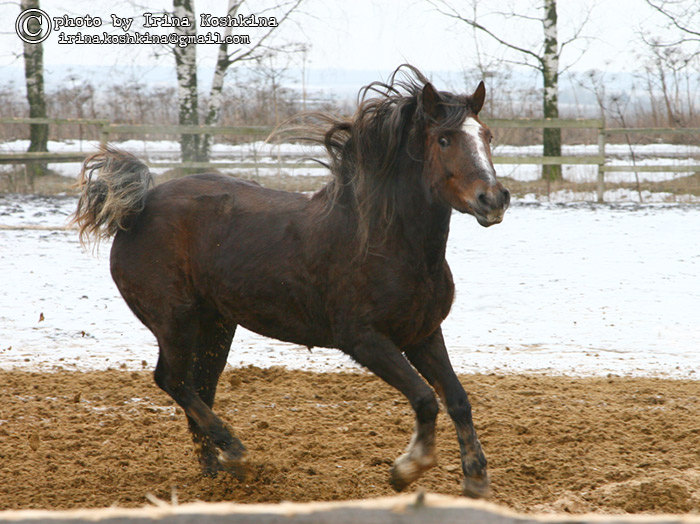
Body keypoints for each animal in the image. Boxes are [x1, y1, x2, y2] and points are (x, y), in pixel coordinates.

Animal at [74, 65, 508, 500]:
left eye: (487, 136)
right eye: (444, 139)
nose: (494, 199)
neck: (387, 243)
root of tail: (137, 208)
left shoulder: (422, 334)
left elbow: (457, 398)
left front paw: (476, 480)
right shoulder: (365, 340)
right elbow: (425, 398)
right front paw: (407, 468)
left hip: (215, 324)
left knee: (199, 387)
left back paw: (217, 471)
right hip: (174, 320)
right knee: (173, 380)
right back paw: (239, 455)